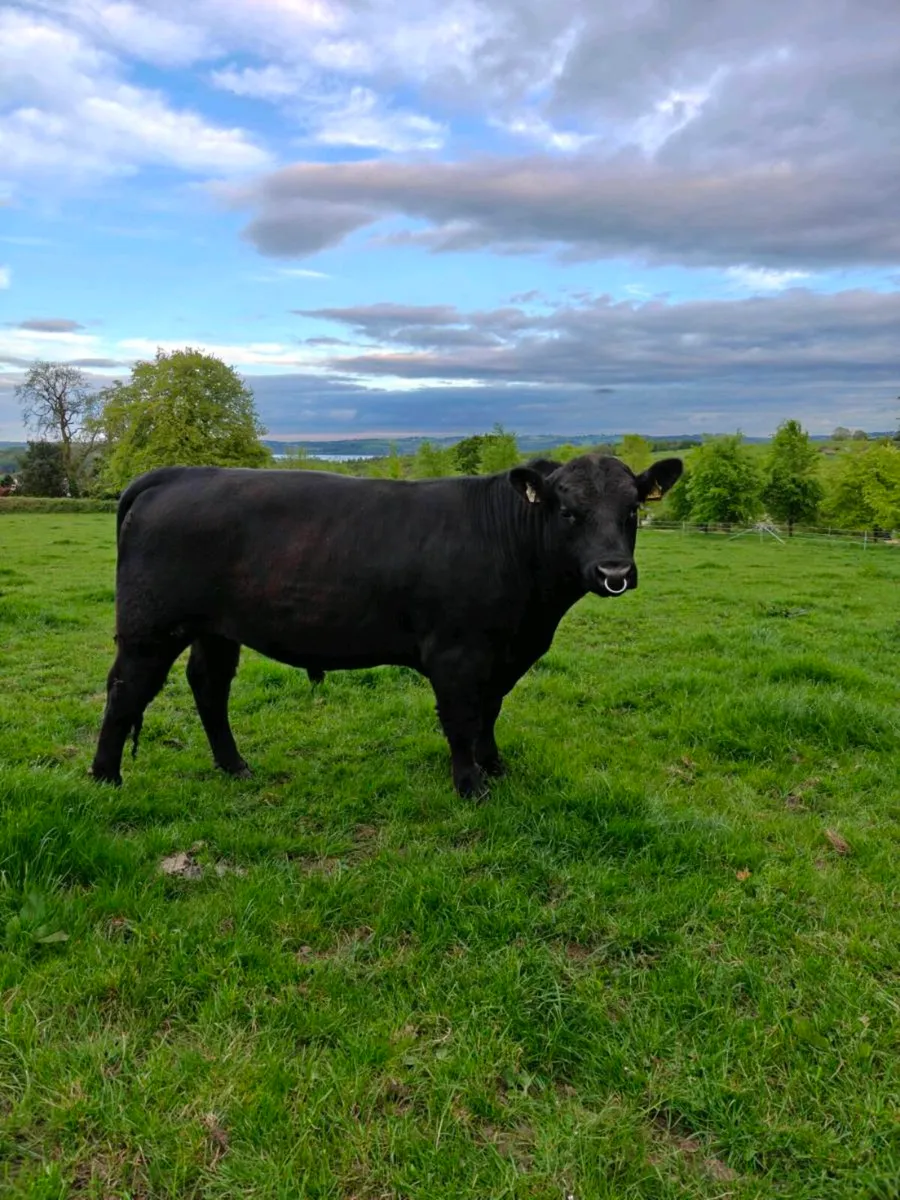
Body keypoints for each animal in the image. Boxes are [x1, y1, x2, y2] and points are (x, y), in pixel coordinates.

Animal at [90, 454, 682, 796]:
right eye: (567, 511)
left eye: (632, 509)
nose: (614, 572)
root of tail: (177, 474)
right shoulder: (456, 654)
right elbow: (461, 720)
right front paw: (470, 786)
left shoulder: (503, 655)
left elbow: (489, 713)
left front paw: (494, 766)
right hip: (150, 628)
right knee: (125, 691)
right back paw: (105, 778)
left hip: (217, 629)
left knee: (209, 688)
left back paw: (234, 766)